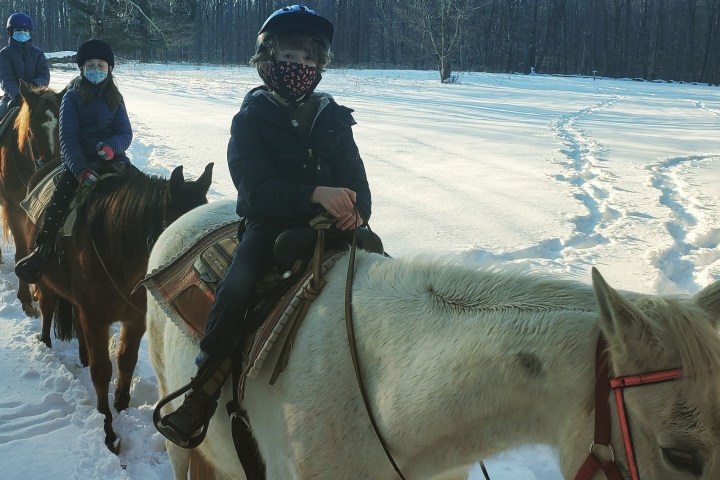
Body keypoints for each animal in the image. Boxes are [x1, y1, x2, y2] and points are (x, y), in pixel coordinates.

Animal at [0, 80, 63, 316]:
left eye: (60, 127)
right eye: (31, 128)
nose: (50, 167)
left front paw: (37, 291)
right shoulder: (13, 209)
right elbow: (20, 251)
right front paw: (26, 300)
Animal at [26, 162, 212, 454]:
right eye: (178, 234)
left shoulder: (135, 318)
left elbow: (127, 360)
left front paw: (122, 404)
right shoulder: (95, 317)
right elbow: (102, 371)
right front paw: (108, 429)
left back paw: (82, 355)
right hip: (45, 281)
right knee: (47, 310)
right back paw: (46, 344)